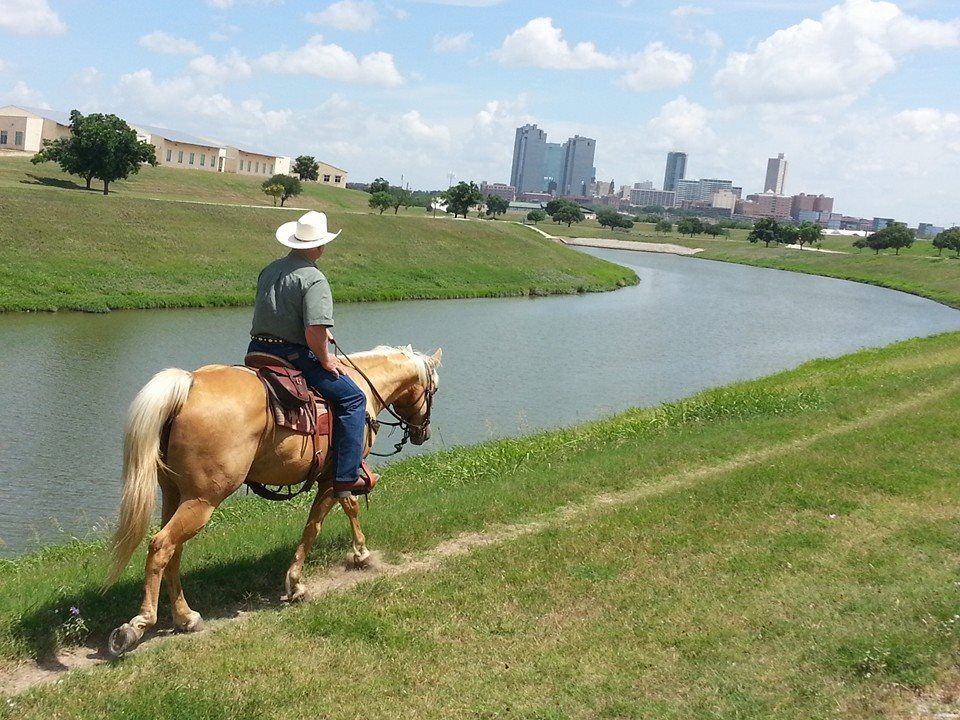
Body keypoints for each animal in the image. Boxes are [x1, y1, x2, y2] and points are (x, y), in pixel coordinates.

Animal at [105, 346, 442, 656]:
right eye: (434, 389)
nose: (422, 433)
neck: (362, 385)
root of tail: (190, 385)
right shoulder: (335, 478)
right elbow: (316, 525)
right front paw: (298, 583)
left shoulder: (334, 479)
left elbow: (349, 508)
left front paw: (360, 553)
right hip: (202, 500)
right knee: (162, 545)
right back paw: (138, 626)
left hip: (175, 494)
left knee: (174, 550)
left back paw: (185, 617)